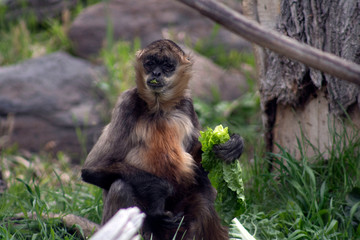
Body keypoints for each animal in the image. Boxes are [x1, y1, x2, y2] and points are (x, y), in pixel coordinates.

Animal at [81, 39, 245, 240]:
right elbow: (92, 169)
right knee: (121, 186)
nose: (156, 73)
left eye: (167, 66)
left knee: (205, 190)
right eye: (150, 63)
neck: (159, 108)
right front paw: (160, 192)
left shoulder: (187, 106)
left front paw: (233, 145)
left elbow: (203, 164)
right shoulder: (127, 102)